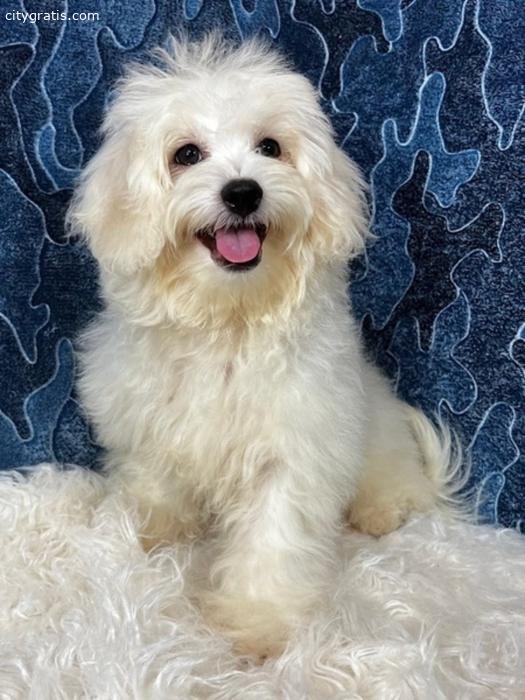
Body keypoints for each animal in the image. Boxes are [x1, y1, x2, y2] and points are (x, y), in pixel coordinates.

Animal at [69, 35, 462, 658]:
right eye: (186, 154)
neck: (229, 319)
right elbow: (156, 480)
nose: (243, 191)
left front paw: (256, 624)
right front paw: (153, 530)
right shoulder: (151, 422)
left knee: (395, 481)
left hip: (382, 443)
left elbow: (272, 543)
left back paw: (380, 511)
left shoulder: (292, 452)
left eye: (270, 147)